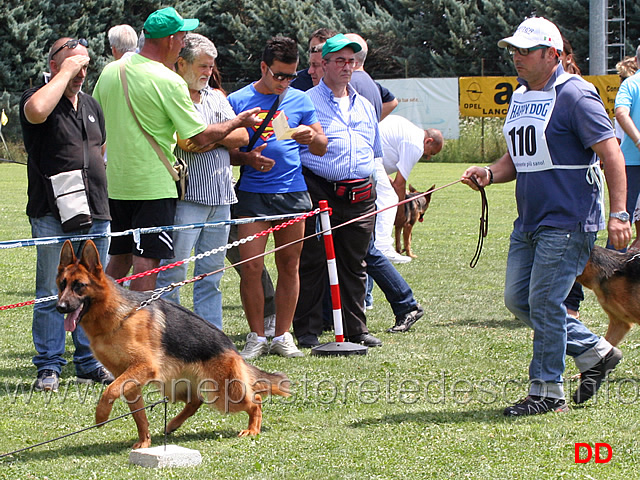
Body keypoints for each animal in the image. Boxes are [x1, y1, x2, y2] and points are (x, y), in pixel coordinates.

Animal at [55, 240, 290, 450]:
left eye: (79, 286)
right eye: (62, 285)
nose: (60, 307)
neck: (118, 316)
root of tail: (231, 348)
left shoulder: (142, 368)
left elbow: (109, 391)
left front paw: (101, 416)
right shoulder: (129, 379)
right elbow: (138, 415)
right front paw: (145, 441)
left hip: (223, 396)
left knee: (255, 399)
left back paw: (252, 429)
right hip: (173, 386)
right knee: (196, 401)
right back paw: (173, 425)